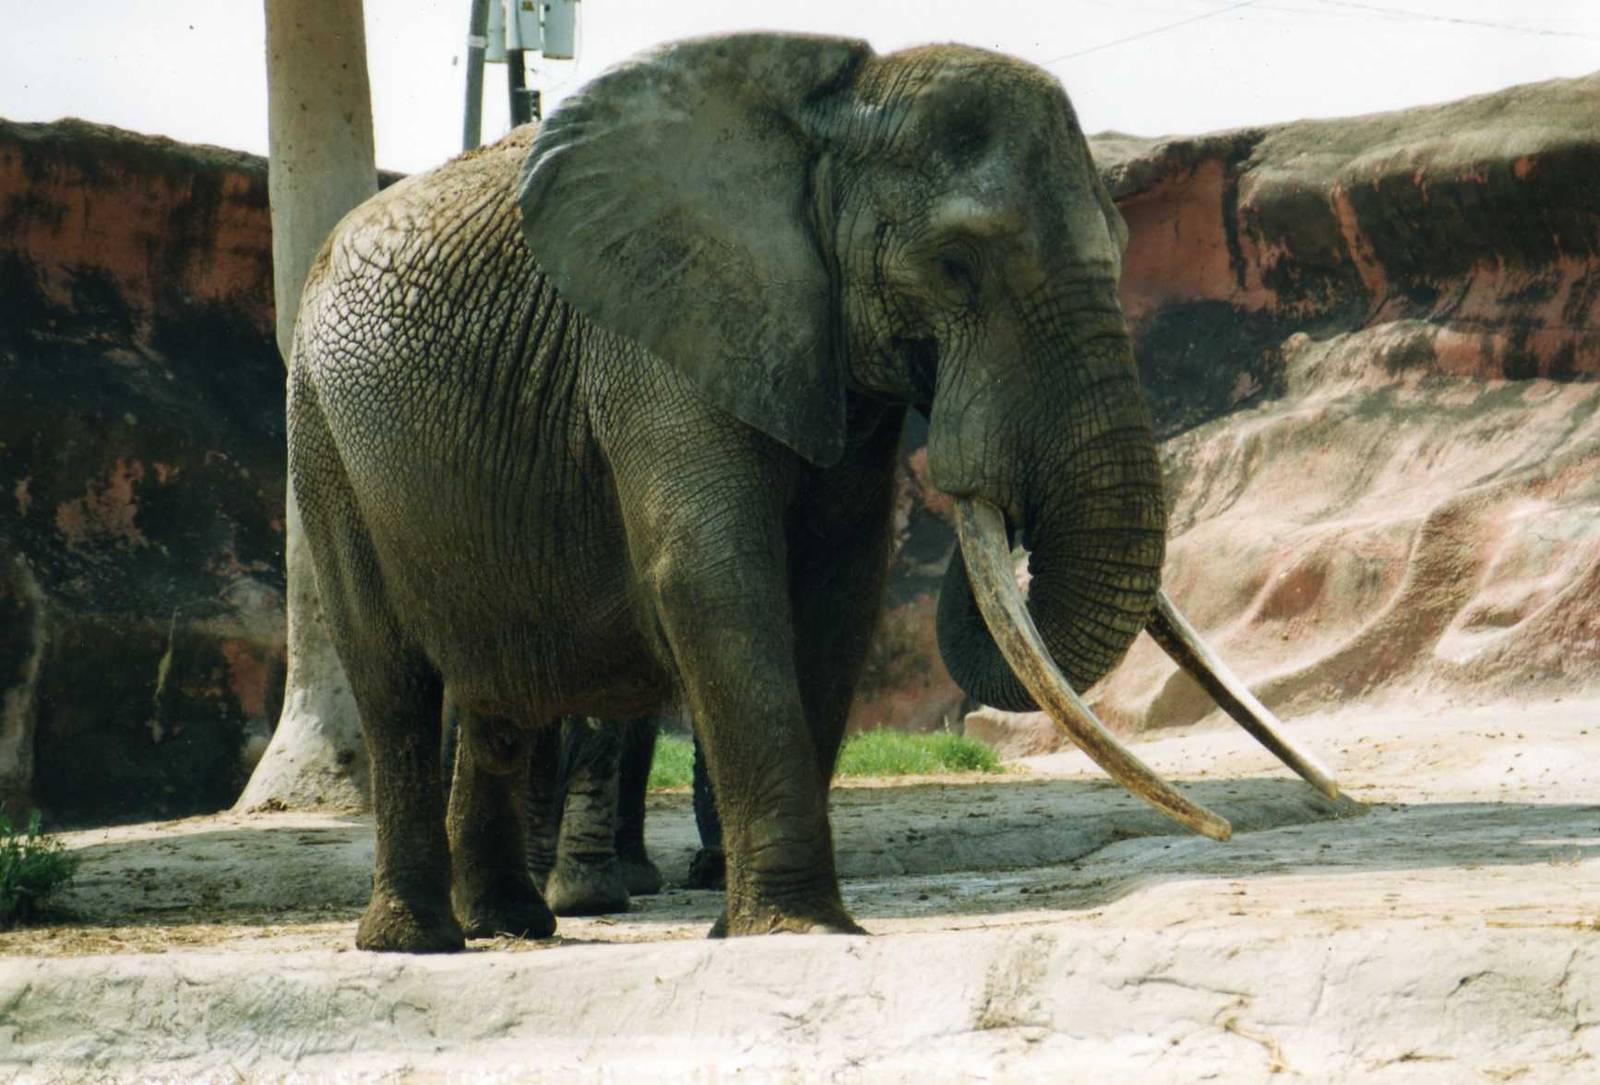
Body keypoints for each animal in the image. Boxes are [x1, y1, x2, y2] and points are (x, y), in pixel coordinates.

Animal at [289, 33, 1335, 952]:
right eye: (956, 265)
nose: (978, 476)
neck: (830, 121)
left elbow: (836, 590)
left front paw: (763, 922)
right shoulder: (652, 337)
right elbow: (711, 575)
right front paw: (798, 929)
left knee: (499, 692)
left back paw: (513, 924)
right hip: (319, 435)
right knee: (393, 677)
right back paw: (418, 944)